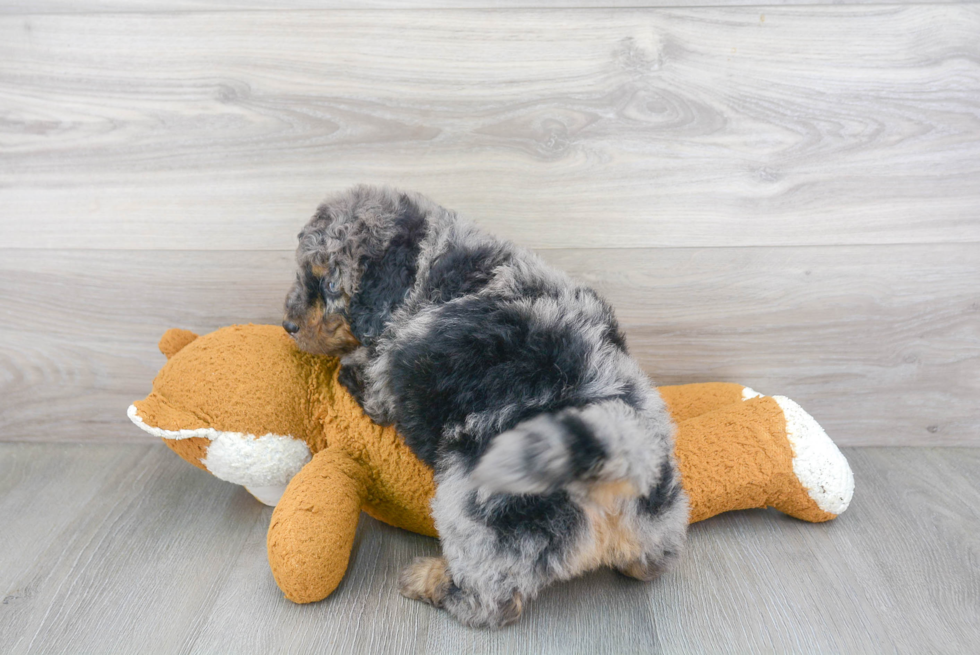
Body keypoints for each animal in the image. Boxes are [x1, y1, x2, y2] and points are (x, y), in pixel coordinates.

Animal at [280, 184, 684, 632]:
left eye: (329, 282)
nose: (288, 324)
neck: (429, 265)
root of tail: (607, 462)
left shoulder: (385, 378)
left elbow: (365, 375)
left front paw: (346, 367)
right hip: (659, 514)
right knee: (651, 561)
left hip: (478, 512)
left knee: (492, 597)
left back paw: (430, 581)